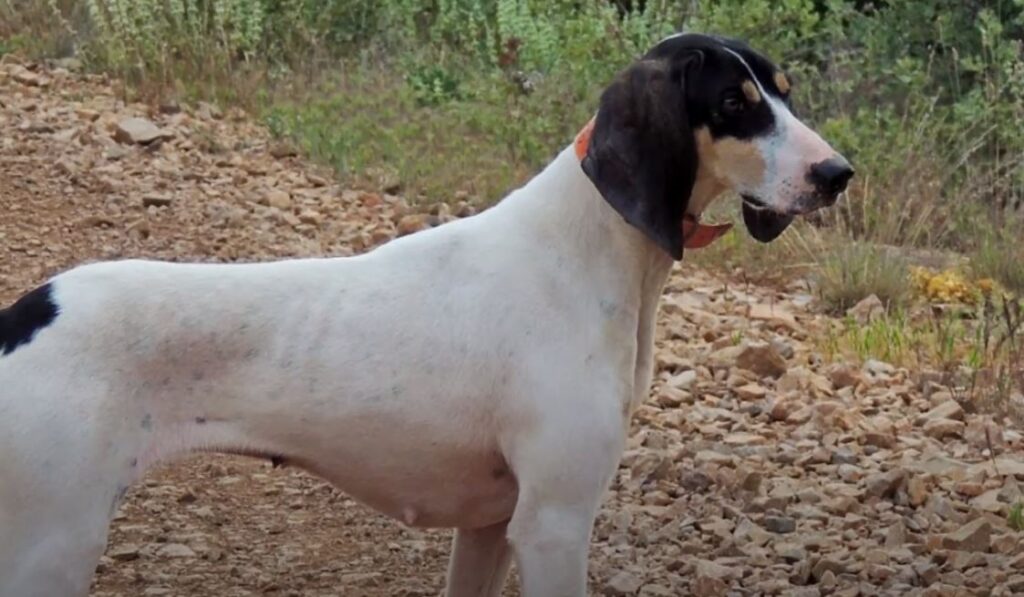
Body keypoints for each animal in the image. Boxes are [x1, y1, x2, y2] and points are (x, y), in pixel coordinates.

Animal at [0, 33, 847, 597]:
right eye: (734, 104)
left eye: (786, 92)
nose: (839, 173)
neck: (582, 249)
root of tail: (26, 313)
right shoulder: (555, 522)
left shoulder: (491, 526)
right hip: (52, 544)